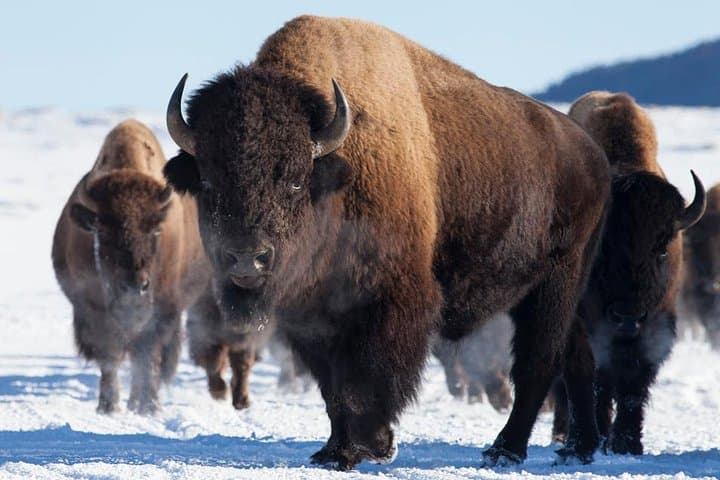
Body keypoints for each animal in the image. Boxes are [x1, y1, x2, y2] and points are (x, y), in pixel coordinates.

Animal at [52, 119, 214, 414]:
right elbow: (110, 355)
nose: (134, 289)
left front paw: (149, 406)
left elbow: (146, 355)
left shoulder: (163, 309)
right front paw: (108, 406)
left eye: (155, 230)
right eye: (102, 232)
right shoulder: (93, 308)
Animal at [163, 16, 610, 468]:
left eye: (295, 180)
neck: (336, 173)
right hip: (558, 294)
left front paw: (363, 448)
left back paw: (505, 451)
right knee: (576, 357)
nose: (246, 259)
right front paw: (335, 450)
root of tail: (592, 153)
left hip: (554, 284)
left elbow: (365, 381)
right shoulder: (313, 316)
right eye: (207, 181)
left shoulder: (390, 302)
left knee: (538, 362)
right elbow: (333, 389)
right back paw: (578, 449)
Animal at [552, 92, 706, 455]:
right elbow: (595, 379)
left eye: (662, 250)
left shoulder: (655, 325)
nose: (627, 317)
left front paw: (626, 443)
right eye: (602, 251)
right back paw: (566, 433)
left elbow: (635, 383)